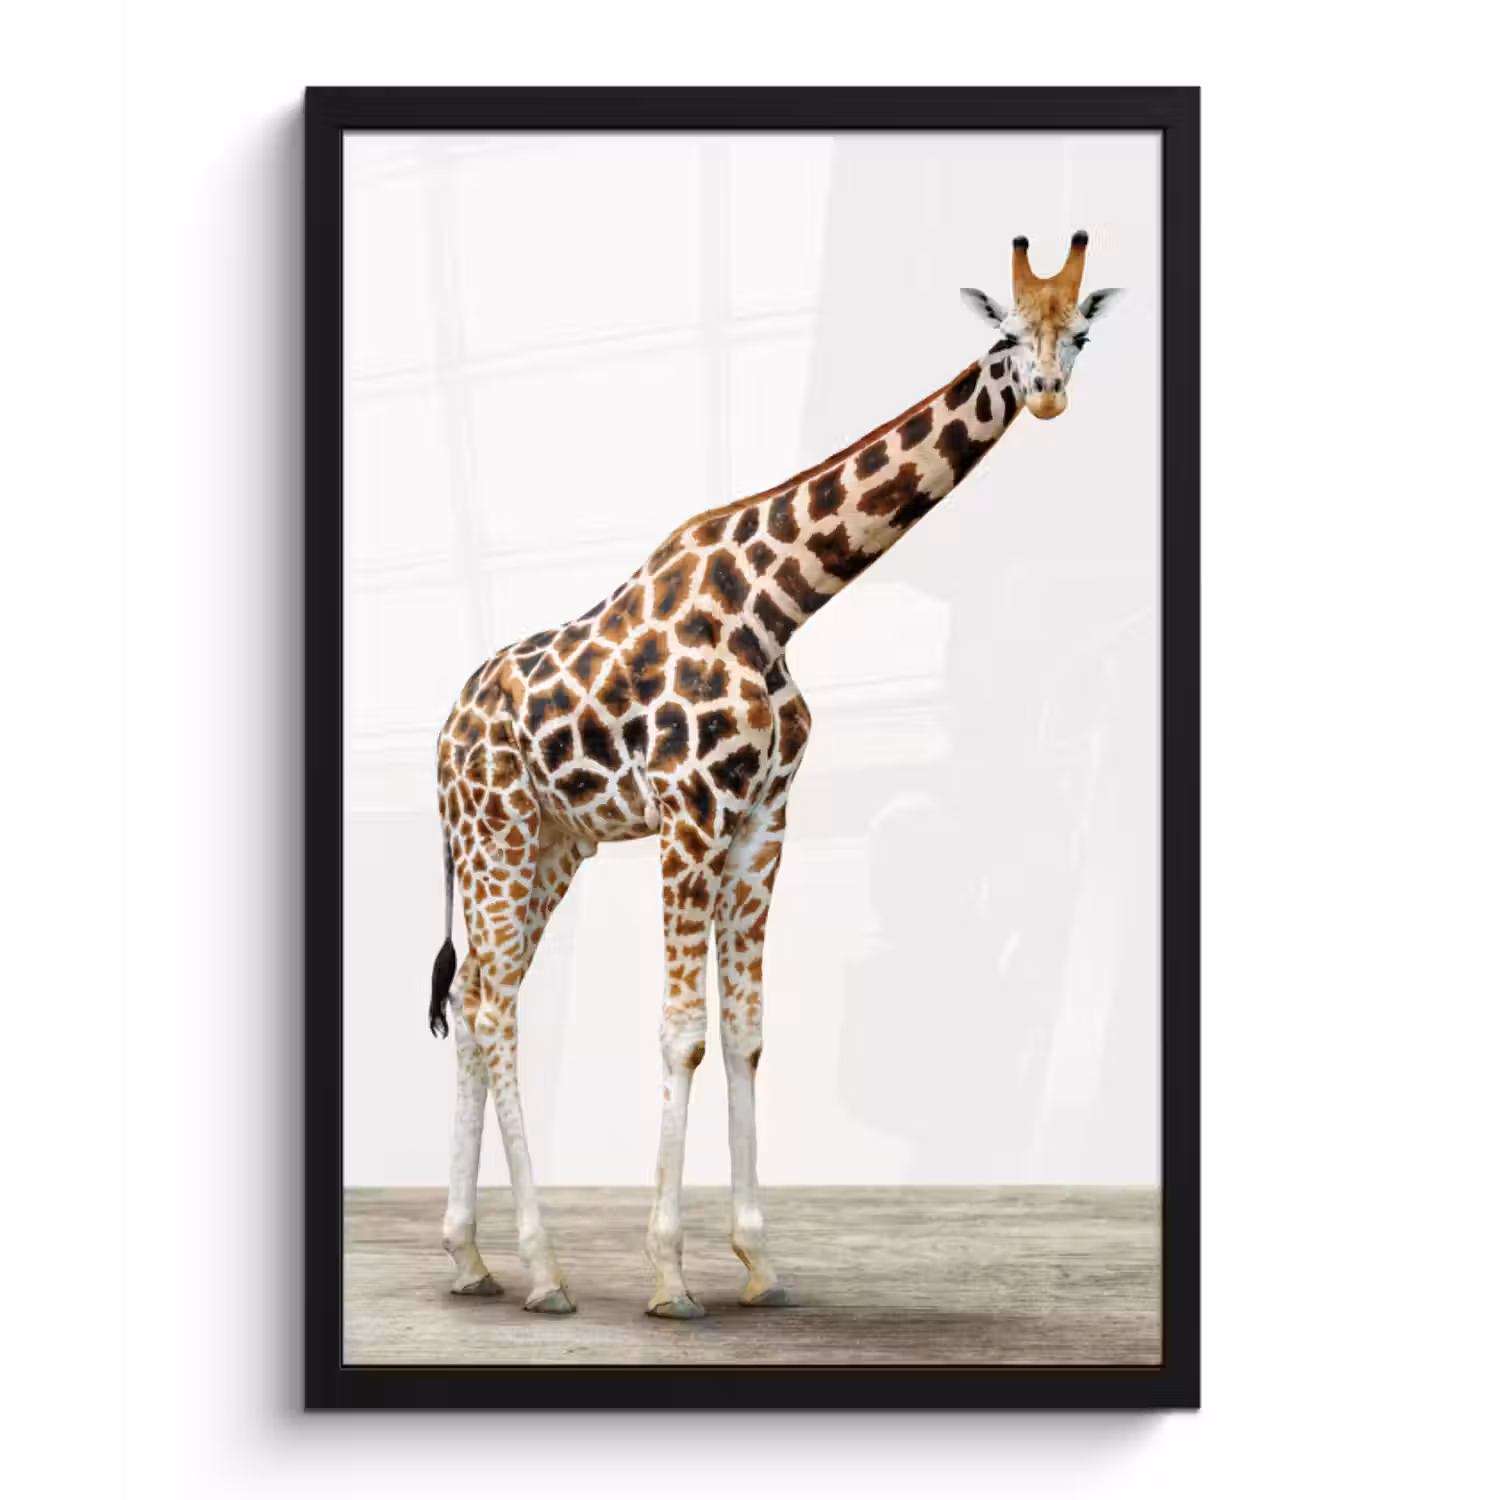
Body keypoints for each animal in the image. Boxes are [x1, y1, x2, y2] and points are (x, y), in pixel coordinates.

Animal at [428, 230, 1122, 1318]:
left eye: (1080, 333)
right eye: (1008, 334)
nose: (1048, 393)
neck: (778, 602)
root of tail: (445, 733)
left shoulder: (762, 823)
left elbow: (747, 1031)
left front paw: (759, 1263)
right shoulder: (689, 815)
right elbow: (682, 1032)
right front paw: (671, 1276)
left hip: (550, 845)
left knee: (470, 1003)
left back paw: (470, 1259)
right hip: (494, 834)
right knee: (497, 1009)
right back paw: (543, 1271)